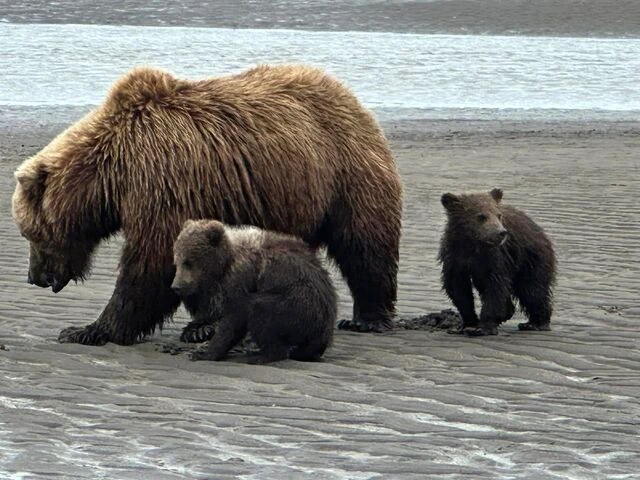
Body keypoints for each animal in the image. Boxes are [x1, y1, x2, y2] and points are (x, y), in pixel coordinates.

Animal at [11, 64, 403, 346]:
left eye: (29, 233)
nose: (34, 277)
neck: (110, 175)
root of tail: (349, 94)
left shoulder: (161, 183)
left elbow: (151, 263)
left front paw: (88, 329)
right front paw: (199, 322)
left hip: (346, 173)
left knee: (364, 246)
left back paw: (367, 318)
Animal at [171, 219, 337, 364]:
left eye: (188, 262)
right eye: (176, 261)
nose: (176, 287)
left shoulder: (242, 277)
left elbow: (234, 318)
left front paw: (205, 352)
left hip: (301, 309)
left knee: (259, 309)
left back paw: (260, 355)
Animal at [438, 188, 557, 336]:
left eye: (498, 215)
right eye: (481, 216)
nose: (501, 232)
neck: (472, 245)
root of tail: (541, 232)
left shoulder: (495, 257)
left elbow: (495, 286)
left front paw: (483, 327)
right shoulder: (454, 256)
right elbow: (458, 287)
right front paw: (467, 324)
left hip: (531, 258)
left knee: (533, 289)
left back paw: (536, 323)